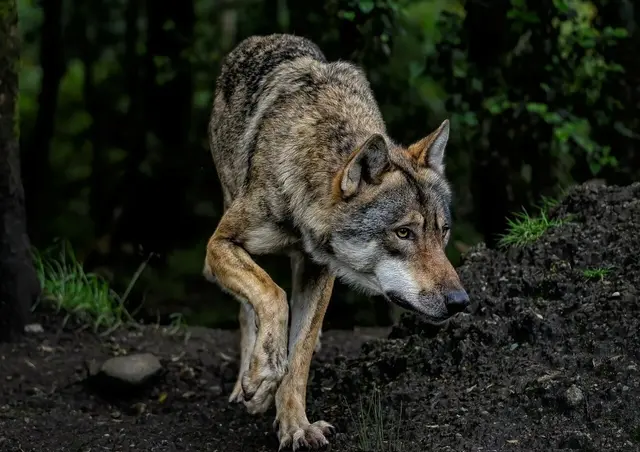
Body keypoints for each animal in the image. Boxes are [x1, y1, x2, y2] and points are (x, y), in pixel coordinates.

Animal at [204, 33, 470, 451]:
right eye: (403, 233)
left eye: (441, 231)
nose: (460, 302)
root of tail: (260, 40)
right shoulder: (220, 243)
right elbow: (272, 296)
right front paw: (262, 376)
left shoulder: (319, 270)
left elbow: (300, 354)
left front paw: (295, 426)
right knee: (248, 309)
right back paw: (248, 379)